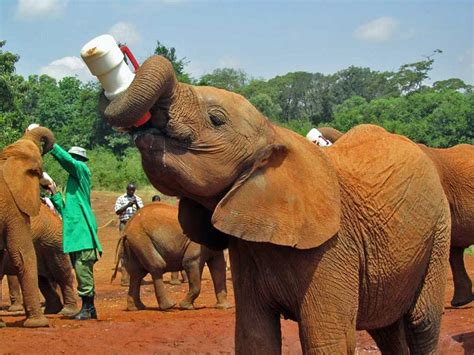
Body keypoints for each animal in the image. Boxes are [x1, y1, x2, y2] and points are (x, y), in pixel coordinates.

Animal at [99, 55, 452, 354]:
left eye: (215, 119)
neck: (273, 133)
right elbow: (254, 336)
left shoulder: (335, 249)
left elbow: (325, 340)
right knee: (386, 327)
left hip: (438, 233)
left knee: (421, 322)